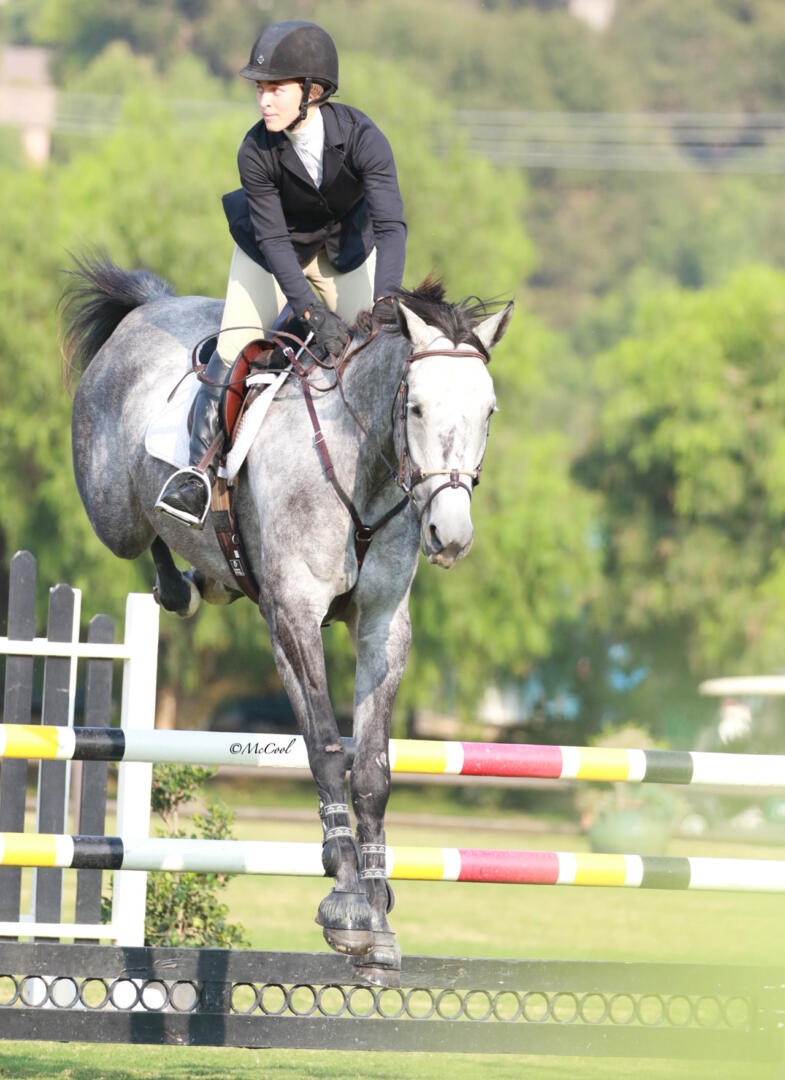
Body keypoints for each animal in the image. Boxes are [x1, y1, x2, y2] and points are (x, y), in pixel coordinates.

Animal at [62, 254, 516, 989]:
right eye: (416, 407)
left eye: (488, 411)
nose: (449, 536)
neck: (364, 467)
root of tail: (147, 307)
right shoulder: (294, 617)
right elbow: (327, 747)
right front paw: (347, 905)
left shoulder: (382, 627)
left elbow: (372, 768)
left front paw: (379, 913)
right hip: (114, 512)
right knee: (143, 534)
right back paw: (180, 576)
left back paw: (207, 583)